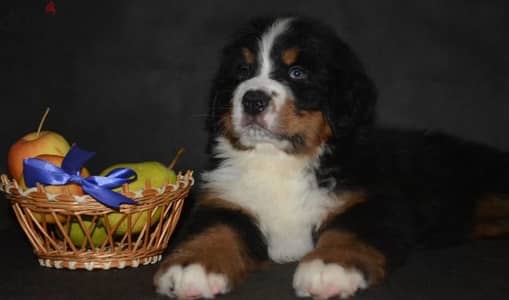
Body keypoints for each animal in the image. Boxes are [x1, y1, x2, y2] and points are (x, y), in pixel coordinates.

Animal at [154, 17, 508, 300]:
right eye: (242, 71)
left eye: (297, 73)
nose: (253, 99)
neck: (280, 160)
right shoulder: (226, 199)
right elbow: (214, 230)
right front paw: (192, 266)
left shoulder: (376, 200)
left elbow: (350, 230)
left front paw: (329, 266)